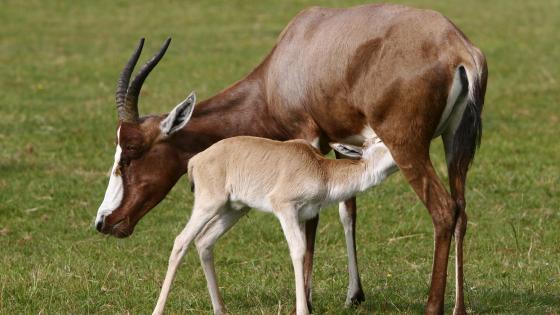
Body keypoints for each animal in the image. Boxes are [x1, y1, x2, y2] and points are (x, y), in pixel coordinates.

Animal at [153, 135, 398, 314]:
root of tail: (195, 160)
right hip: (209, 204)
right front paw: (302, 310)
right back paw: (159, 310)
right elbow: (298, 250)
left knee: (204, 241)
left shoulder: (302, 216)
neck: (322, 171)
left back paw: (220, 310)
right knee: (181, 241)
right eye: (379, 140)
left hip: (234, 209)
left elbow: (306, 251)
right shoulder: (285, 208)